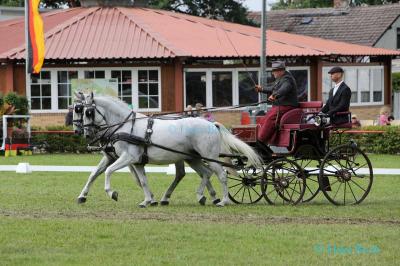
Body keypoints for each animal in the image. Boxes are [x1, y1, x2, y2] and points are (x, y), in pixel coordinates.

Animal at [81, 92, 262, 207]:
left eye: (88, 112)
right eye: (80, 110)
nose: (85, 133)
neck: (126, 126)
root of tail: (211, 124)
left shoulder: (128, 157)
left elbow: (108, 171)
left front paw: (112, 193)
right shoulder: (137, 162)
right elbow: (143, 181)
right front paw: (147, 201)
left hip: (208, 156)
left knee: (221, 175)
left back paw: (223, 201)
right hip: (193, 158)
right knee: (206, 173)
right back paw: (201, 196)